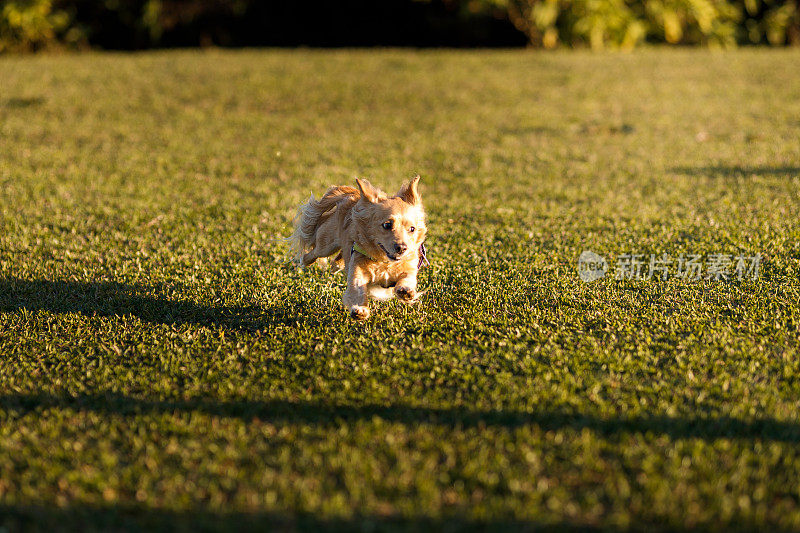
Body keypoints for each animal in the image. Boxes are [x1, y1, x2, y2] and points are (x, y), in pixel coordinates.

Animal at [290, 175, 428, 318]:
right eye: (387, 225)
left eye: (412, 229)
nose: (402, 248)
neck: (384, 261)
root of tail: (354, 195)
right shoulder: (357, 269)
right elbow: (357, 289)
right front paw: (360, 309)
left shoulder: (410, 267)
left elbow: (408, 278)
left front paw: (406, 291)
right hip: (326, 244)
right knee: (313, 252)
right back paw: (304, 261)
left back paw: (336, 265)